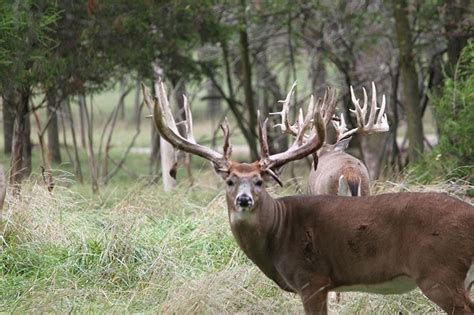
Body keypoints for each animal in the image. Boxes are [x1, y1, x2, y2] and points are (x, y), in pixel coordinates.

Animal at [143, 82, 474, 315]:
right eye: (230, 180)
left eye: (260, 180)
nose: (244, 200)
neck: (278, 233)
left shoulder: (312, 279)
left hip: (440, 273)